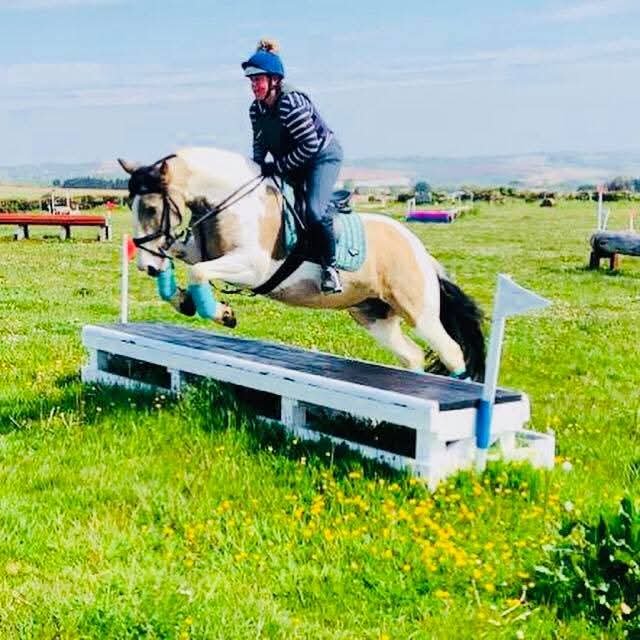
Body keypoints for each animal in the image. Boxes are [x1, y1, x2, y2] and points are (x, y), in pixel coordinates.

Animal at [118, 147, 486, 380]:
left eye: (150, 208)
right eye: (130, 204)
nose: (145, 267)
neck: (230, 202)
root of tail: (421, 253)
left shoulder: (252, 267)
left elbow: (198, 272)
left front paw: (223, 314)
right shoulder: (197, 250)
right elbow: (182, 263)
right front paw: (182, 300)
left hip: (418, 311)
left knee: (451, 352)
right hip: (372, 314)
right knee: (412, 355)